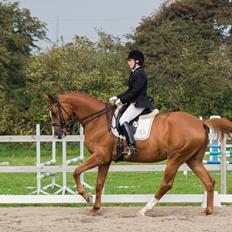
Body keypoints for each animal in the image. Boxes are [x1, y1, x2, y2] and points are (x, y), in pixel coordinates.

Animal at [44, 92, 232, 216]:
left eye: (53, 112)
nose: (57, 135)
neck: (97, 121)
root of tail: (200, 123)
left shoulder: (100, 156)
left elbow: (76, 171)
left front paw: (87, 197)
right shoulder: (105, 160)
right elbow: (99, 184)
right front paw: (95, 207)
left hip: (176, 158)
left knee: (167, 184)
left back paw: (145, 209)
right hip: (193, 160)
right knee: (208, 181)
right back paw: (208, 211)